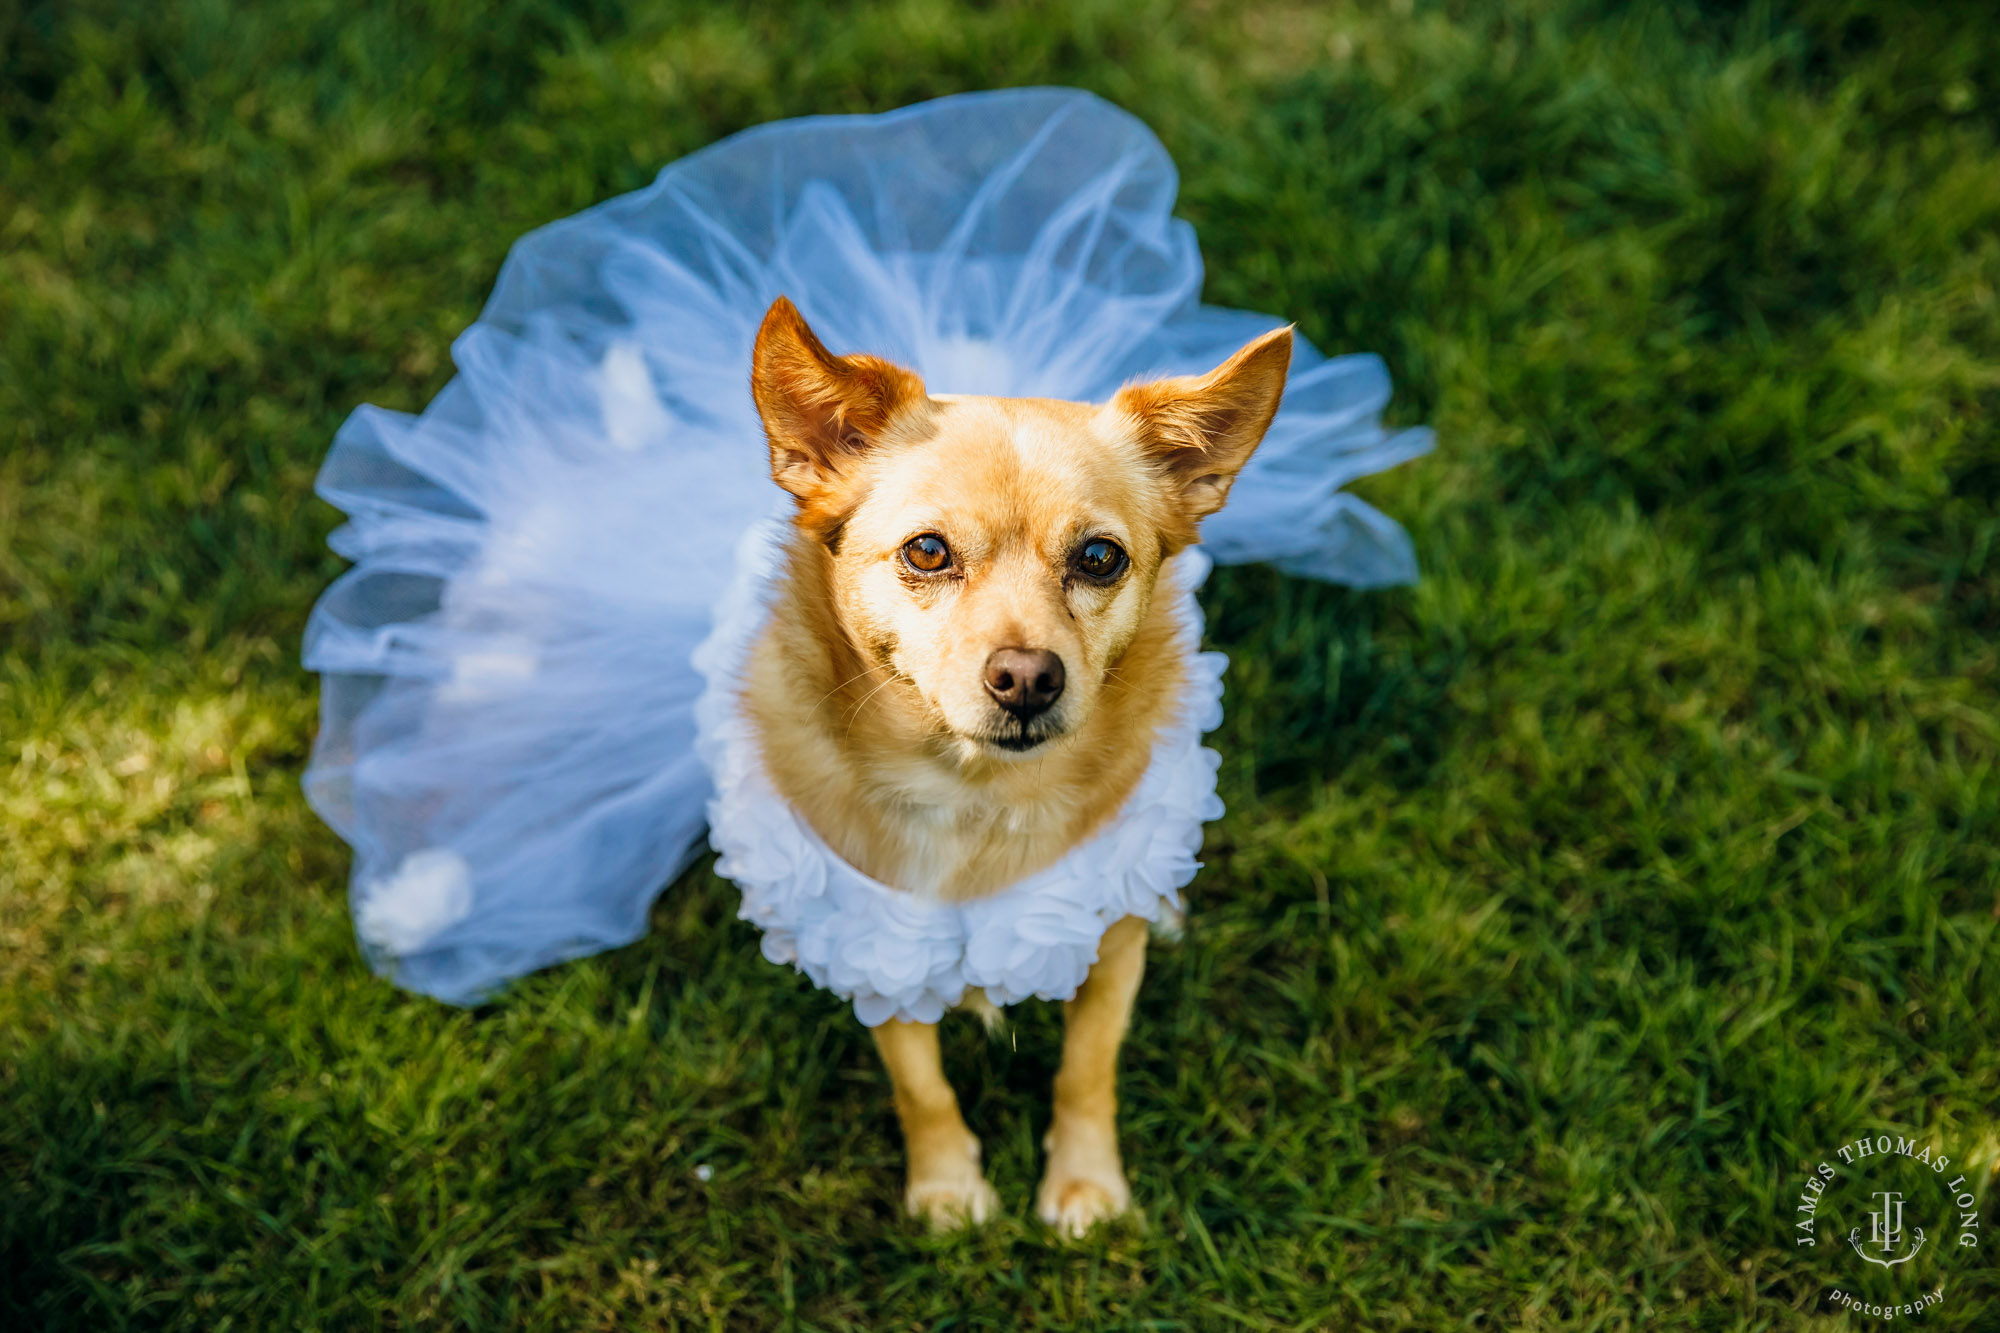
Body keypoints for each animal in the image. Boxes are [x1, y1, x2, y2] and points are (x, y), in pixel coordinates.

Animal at [744, 296, 1288, 1232]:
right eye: (927, 552)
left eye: (1100, 558)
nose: (1029, 677)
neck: (975, 793)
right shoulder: (875, 943)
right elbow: (919, 1084)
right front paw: (946, 1188)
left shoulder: (1108, 944)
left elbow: (1088, 1068)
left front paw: (1085, 1183)